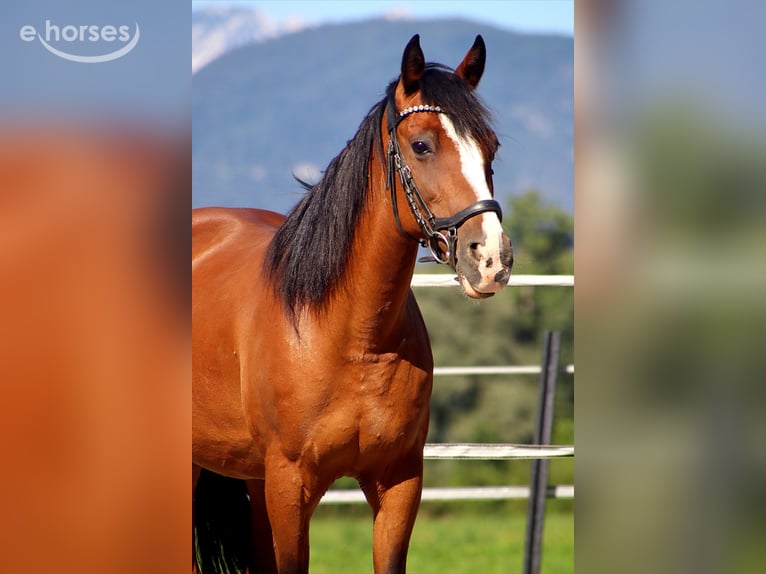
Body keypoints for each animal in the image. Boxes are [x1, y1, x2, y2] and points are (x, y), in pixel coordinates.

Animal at [192, 34, 513, 573]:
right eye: (421, 145)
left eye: (491, 146)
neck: (354, 337)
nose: (491, 259)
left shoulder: (399, 483)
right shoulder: (290, 488)